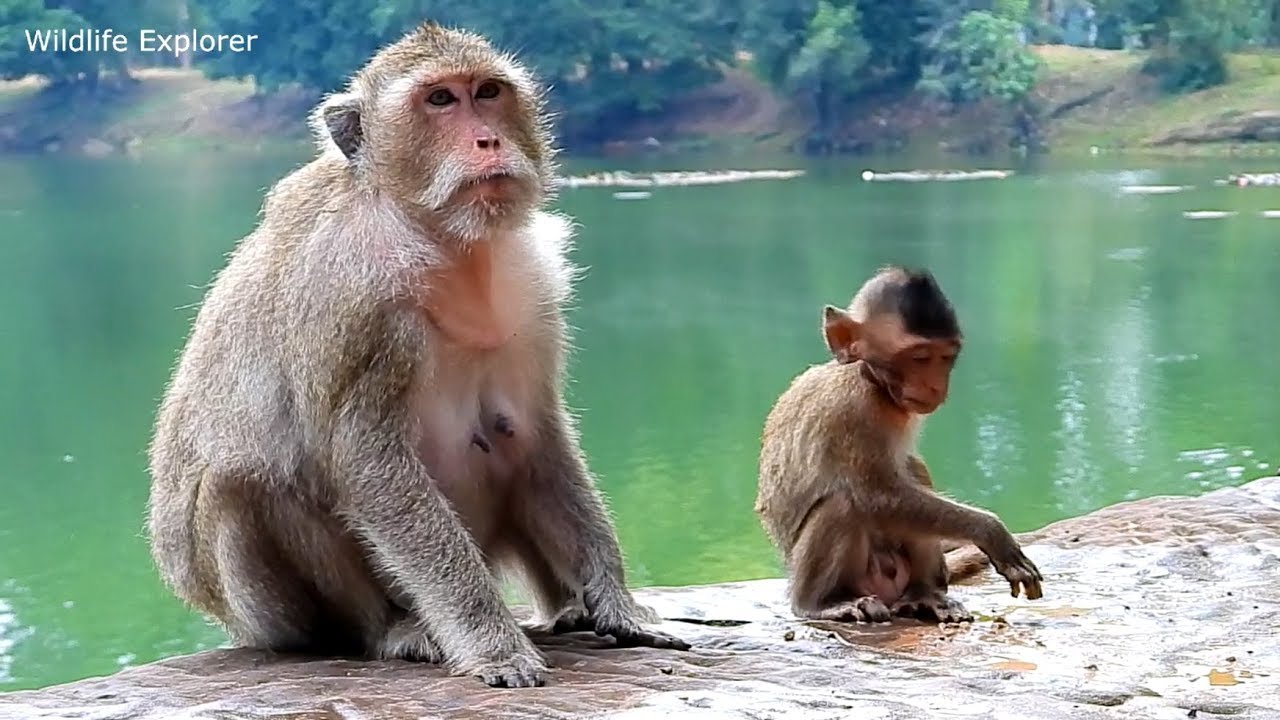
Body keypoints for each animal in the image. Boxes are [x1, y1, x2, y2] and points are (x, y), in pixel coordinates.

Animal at [144, 22, 688, 691]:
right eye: (439, 101)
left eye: (487, 92)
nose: (488, 138)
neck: (438, 236)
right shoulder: (351, 297)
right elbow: (363, 463)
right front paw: (493, 644)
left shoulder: (531, 293)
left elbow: (535, 434)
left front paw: (618, 604)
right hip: (266, 613)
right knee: (249, 482)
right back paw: (390, 630)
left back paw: (570, 610)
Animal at [754, 266, 1042, 625]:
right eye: (919, 357)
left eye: (945, 356)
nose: (935, 386)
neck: (872, 381)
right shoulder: (854, 411)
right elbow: (879, 496)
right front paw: (992, 532)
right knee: (844, 505)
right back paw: (820, 603)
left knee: (914, 471)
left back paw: (924, 595)